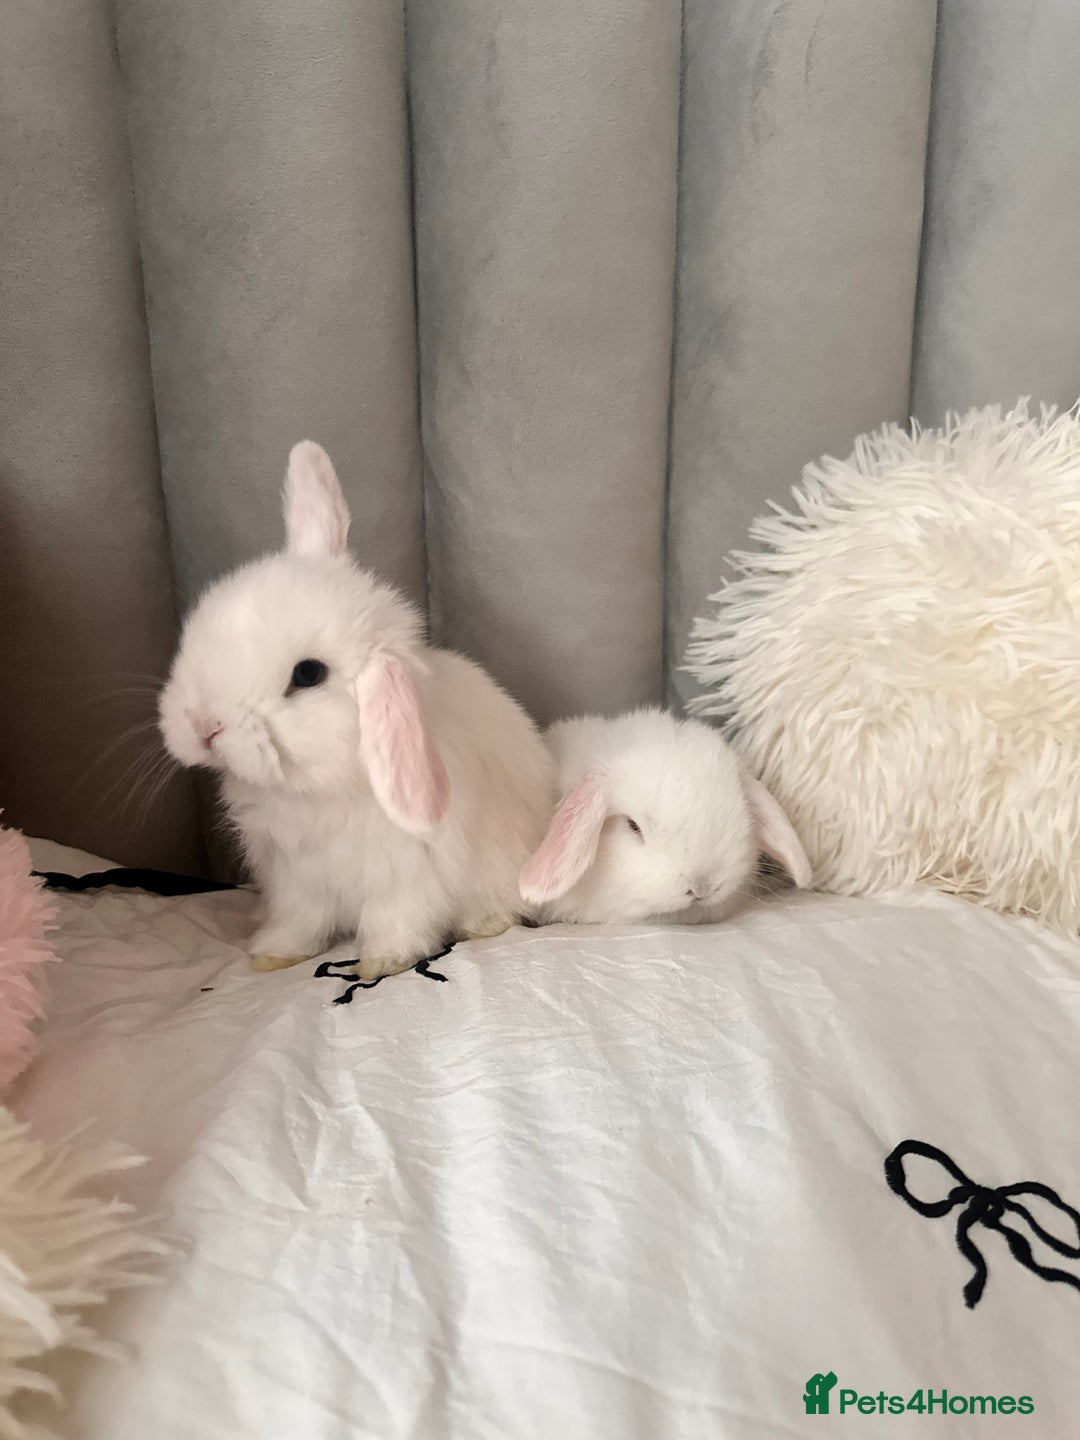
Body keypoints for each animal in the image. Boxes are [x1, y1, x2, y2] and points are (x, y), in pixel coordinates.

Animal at [159, 440, 554, 979]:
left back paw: (484, 924)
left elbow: (397, 919)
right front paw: (272, 955)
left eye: (308, 674)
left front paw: (382, 962)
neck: (317, 788)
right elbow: (299, 922)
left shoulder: (407, 875)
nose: (204, 727)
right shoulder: (297, 881)